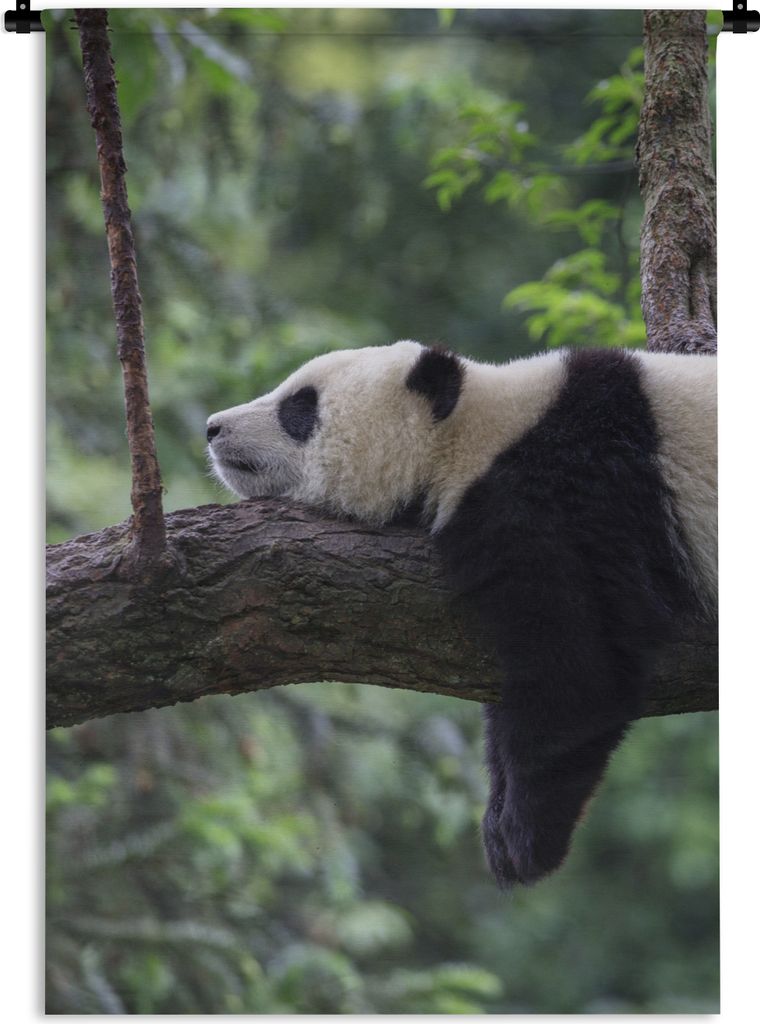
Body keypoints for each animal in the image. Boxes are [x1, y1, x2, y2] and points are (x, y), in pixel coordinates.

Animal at [207, 341, 717, 887]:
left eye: (300, 407)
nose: (213, 427)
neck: (475, 430)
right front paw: (498, 821)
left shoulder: (570, 496)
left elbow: (584, 663)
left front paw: (527, 838)